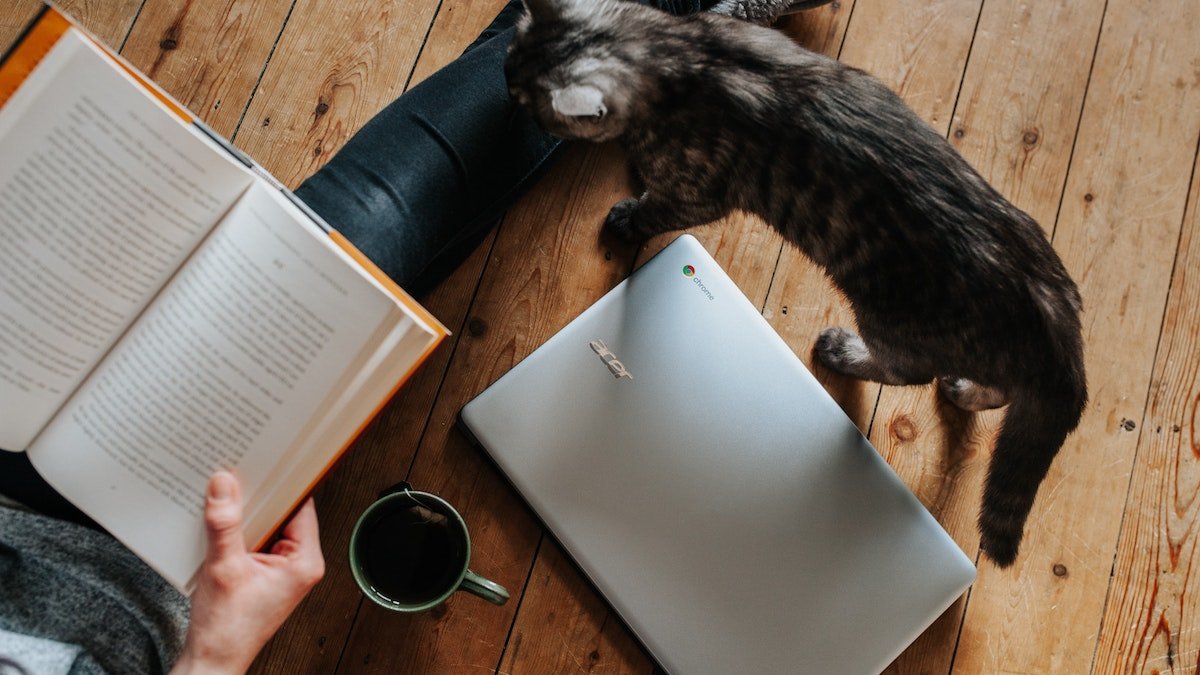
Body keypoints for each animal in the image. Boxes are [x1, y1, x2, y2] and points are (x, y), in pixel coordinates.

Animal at [506, 0, 1089, 564]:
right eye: (510, 65)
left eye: (529, 98)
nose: (510, 100)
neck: (681, 51)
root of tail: (1053, 311)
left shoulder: (698, 193)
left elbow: (657, 208)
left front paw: (629, 216)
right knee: (996, 389)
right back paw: (963, 390)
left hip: (895, 320)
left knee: (908, 371)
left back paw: (846, 353)